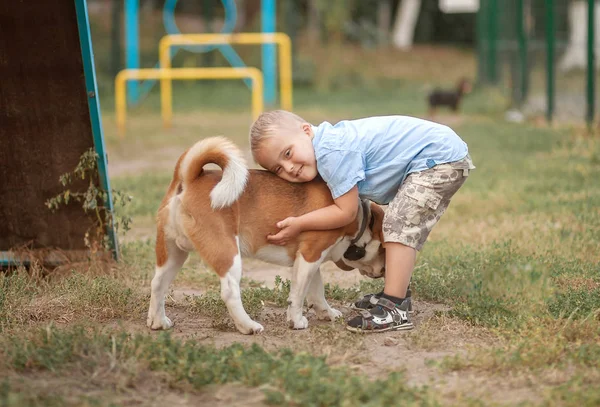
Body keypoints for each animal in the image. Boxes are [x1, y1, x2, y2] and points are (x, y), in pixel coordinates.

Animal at [148, 137, 386, 334]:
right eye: (384, 248)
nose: (384, 272)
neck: (357, 218)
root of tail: (190, 178)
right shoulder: (310, 256)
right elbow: (298, 295)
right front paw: (296, 321)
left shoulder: (311, 259)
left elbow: (317, 292)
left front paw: (326, 313)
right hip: (227, 253)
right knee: (229, 292)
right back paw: (248, 326)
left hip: (172, 253)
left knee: (158, 283)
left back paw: (158, 322)